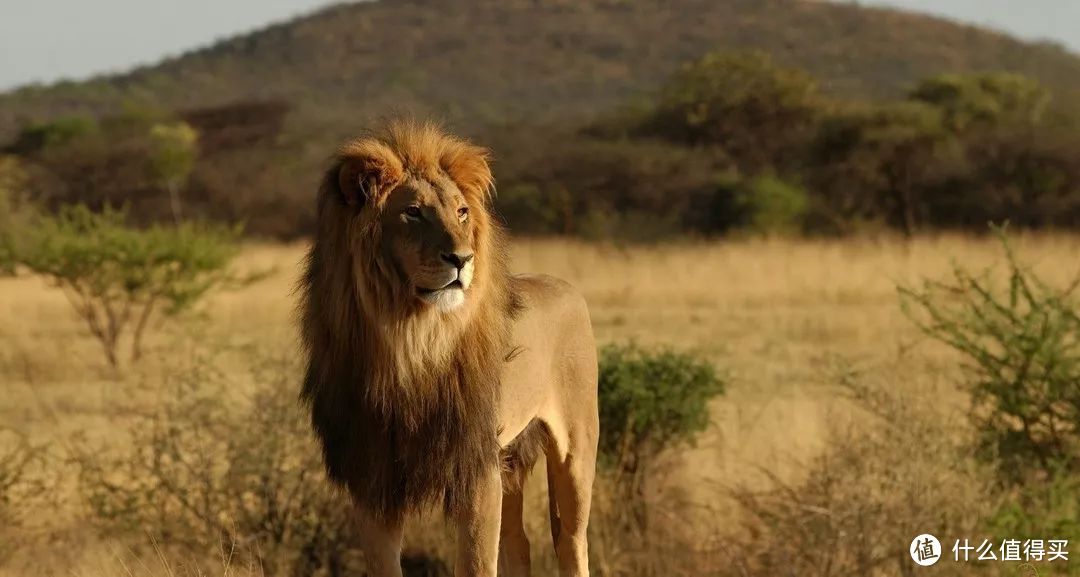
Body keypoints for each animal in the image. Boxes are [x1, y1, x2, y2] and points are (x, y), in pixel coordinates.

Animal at [295, 118, 600, 577]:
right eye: (412, 211)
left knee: (571, 540)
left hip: (575, 451)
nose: (462, 259)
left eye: (461, 212)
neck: (409, 341)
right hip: (508, 459)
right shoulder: (372, 479)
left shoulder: (475, 470)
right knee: (518, 542)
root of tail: (566, 286)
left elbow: (475, 564)